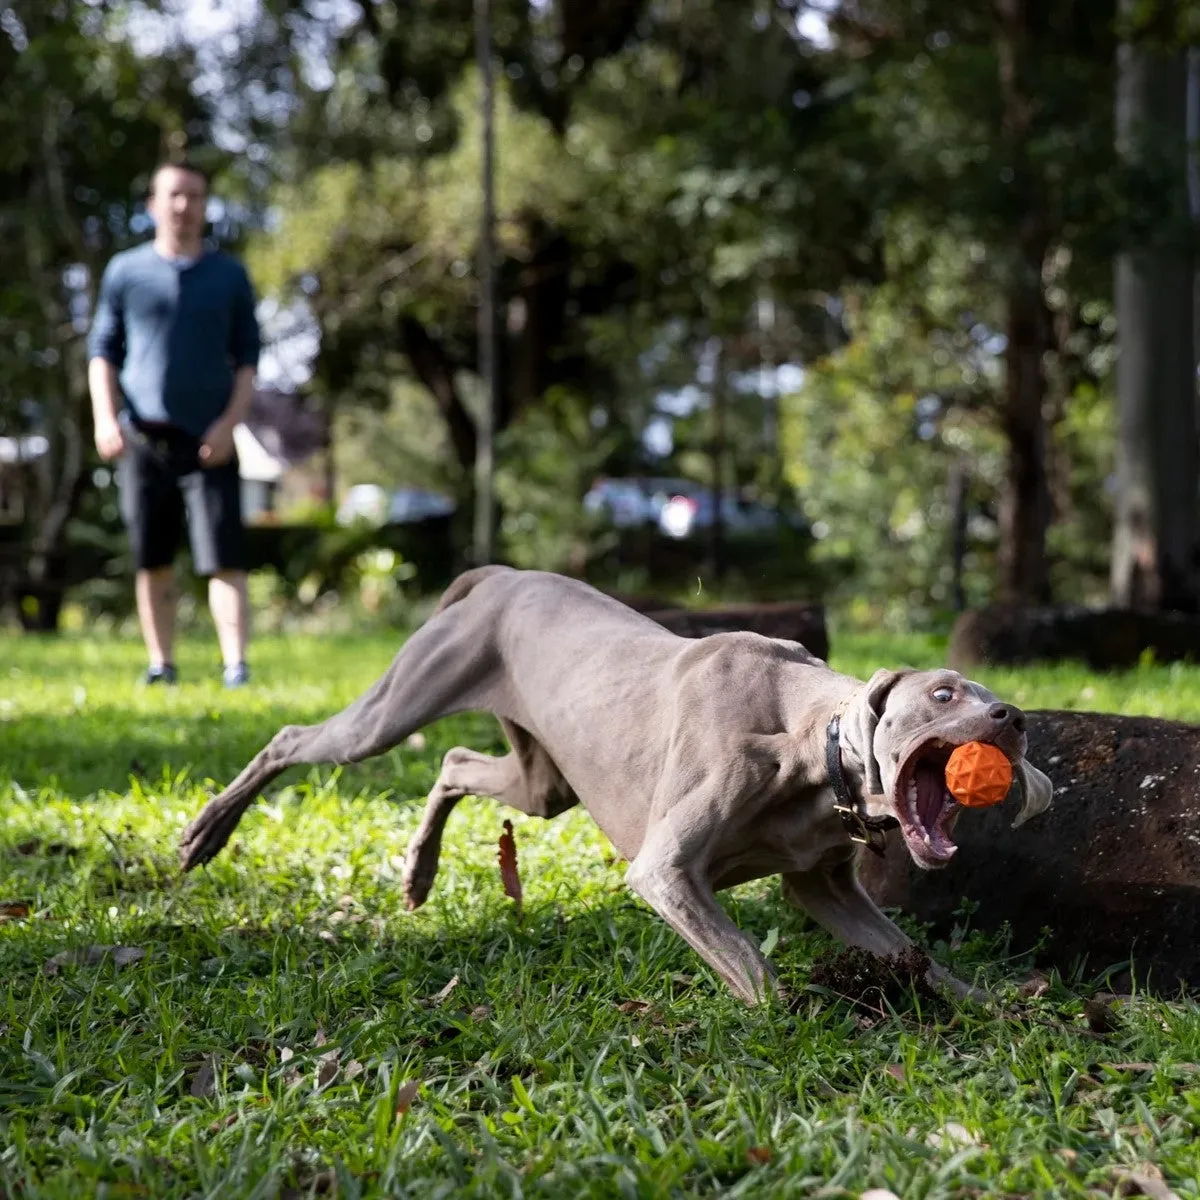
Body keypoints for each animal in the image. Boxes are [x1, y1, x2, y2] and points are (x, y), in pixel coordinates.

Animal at [180, 566, 1051, 998]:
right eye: (944, 694)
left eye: (986, 694)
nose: (1013, 717)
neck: (812, 750)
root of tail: (500, 573)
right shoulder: (667, 871)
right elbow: (754, 967)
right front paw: (797, 1021)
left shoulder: (823, 885)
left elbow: (916, 955)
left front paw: (994, 1007)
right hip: (397, 707)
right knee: (295, 738)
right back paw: (205, 833)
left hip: (543, 781)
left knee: (455, 763)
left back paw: (419, 873)